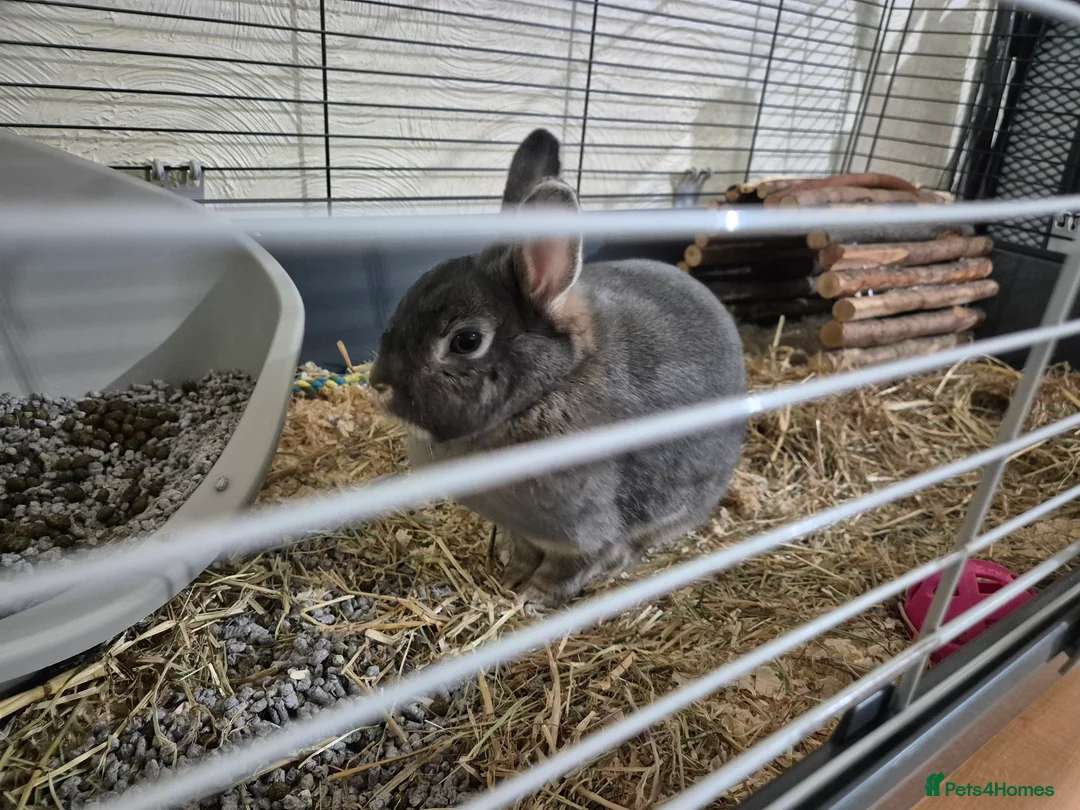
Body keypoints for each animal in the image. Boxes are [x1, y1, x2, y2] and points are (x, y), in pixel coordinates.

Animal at [369, 127, 747, 608]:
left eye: (466, 341)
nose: (378, 384)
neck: (550, 387)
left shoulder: (584, 534)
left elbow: (569, 568)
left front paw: (533, 597)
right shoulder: (526, 531)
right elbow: (524, 551)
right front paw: (510, 577)